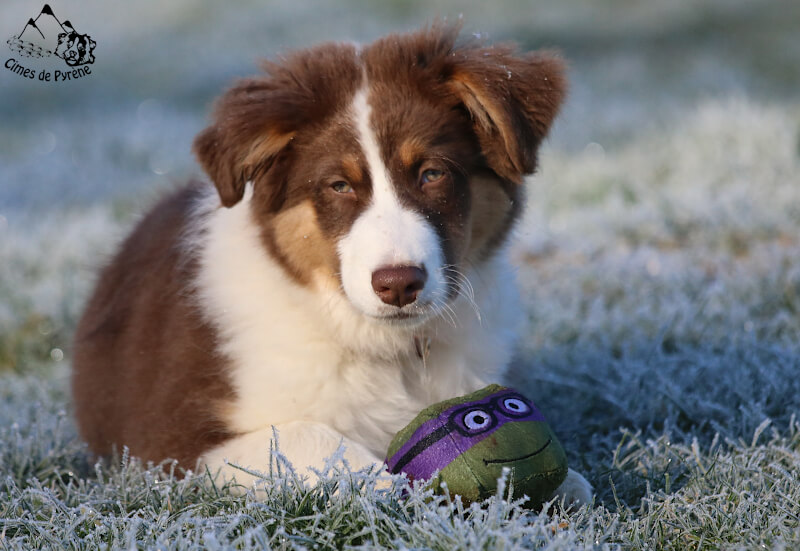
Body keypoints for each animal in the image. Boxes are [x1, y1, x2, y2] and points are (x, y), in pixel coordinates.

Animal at [72, 24, 592, 505]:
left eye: (432, 173)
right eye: (339, 185)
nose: (398, 284)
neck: (384, 347)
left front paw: (567, 484)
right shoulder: (171, 442)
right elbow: (305, 437)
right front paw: (394, 486)